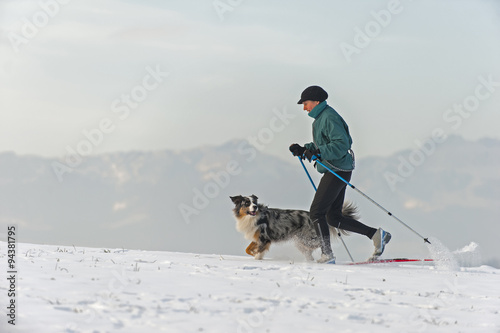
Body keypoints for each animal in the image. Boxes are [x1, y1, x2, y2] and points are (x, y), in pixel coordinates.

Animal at [229, 193, 358, 260]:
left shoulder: (264, 238)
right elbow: (248, 249)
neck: (252, 217)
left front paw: (257, 257)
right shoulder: (258, 237)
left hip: (305, 239)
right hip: (300, 242)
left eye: (254, 203)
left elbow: (258, 252)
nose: (255, 207)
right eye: (247, 203)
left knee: (321, 243)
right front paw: (254, 253)